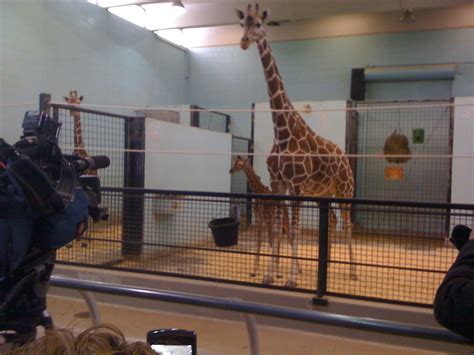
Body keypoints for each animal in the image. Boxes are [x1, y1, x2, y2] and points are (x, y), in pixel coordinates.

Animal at [230, 156, 292, 284]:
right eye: (234, 162)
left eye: (240, 164)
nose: (230, 170)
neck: (258, 191)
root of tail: (284, 204)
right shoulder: (260, 219)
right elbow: (259, 242)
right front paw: (254, 271)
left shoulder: (268, 219)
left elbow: (270, 242)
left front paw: (271, 274)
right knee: (279, 239)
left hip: (284, 221)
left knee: (289, 239)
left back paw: (294, 270)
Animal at [237, 3, 356, 286]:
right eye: (242, 24)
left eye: (259, 24)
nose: (244, 41)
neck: (282, 132)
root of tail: (345, 159)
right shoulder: (279, 184)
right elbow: (281, 229)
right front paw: (270, 275)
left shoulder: (297, 184)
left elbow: (294, 229)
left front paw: (291, 278)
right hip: (323, 194)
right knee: (333, 221)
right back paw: (328, 266)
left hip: (344, 191)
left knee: (348, 224)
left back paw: (353, 271)